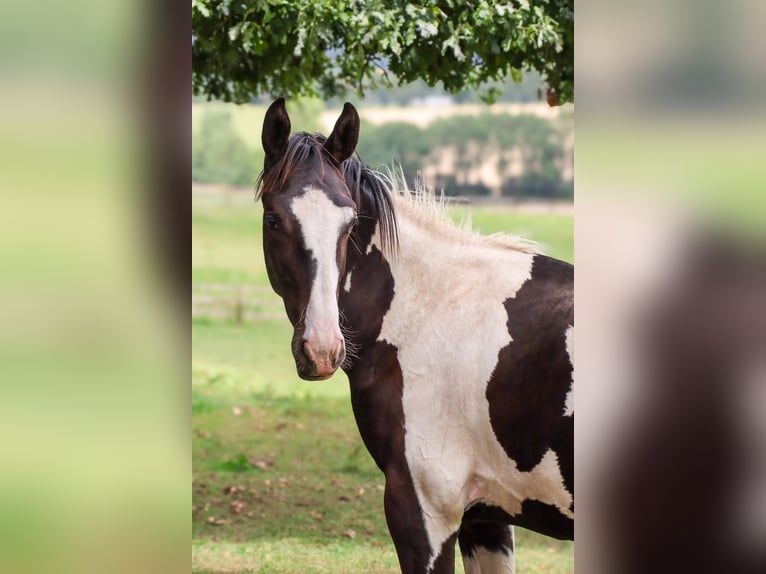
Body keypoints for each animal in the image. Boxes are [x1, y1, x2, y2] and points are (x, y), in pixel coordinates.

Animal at [260, 100, 576, 574]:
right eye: (274, 219)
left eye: (348, 223)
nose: (322, 348)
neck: (432, 309)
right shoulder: (487, 519)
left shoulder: (424, 511)